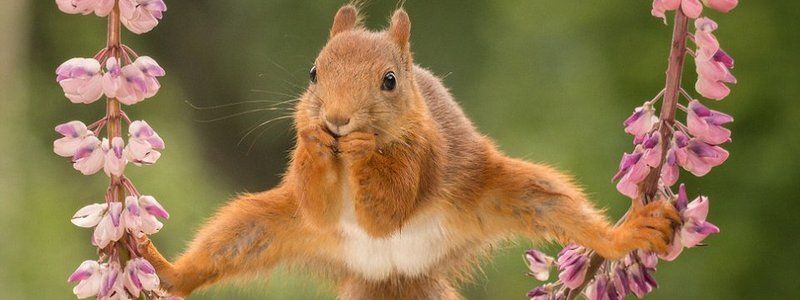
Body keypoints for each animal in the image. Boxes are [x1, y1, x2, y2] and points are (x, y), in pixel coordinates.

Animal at [139, 5, 680, 300]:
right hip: (266, 227)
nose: (337, 120)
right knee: (231, 242)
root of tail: (394, 273)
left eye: (390, 81)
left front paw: (361, 148)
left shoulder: (426, 155)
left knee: (558, 207)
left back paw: (625, 234)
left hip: (504, 191)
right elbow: (317, 205)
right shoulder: (311, 200)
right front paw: (315, 140)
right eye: (313, 73)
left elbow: (388, 210)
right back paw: (167, 271)